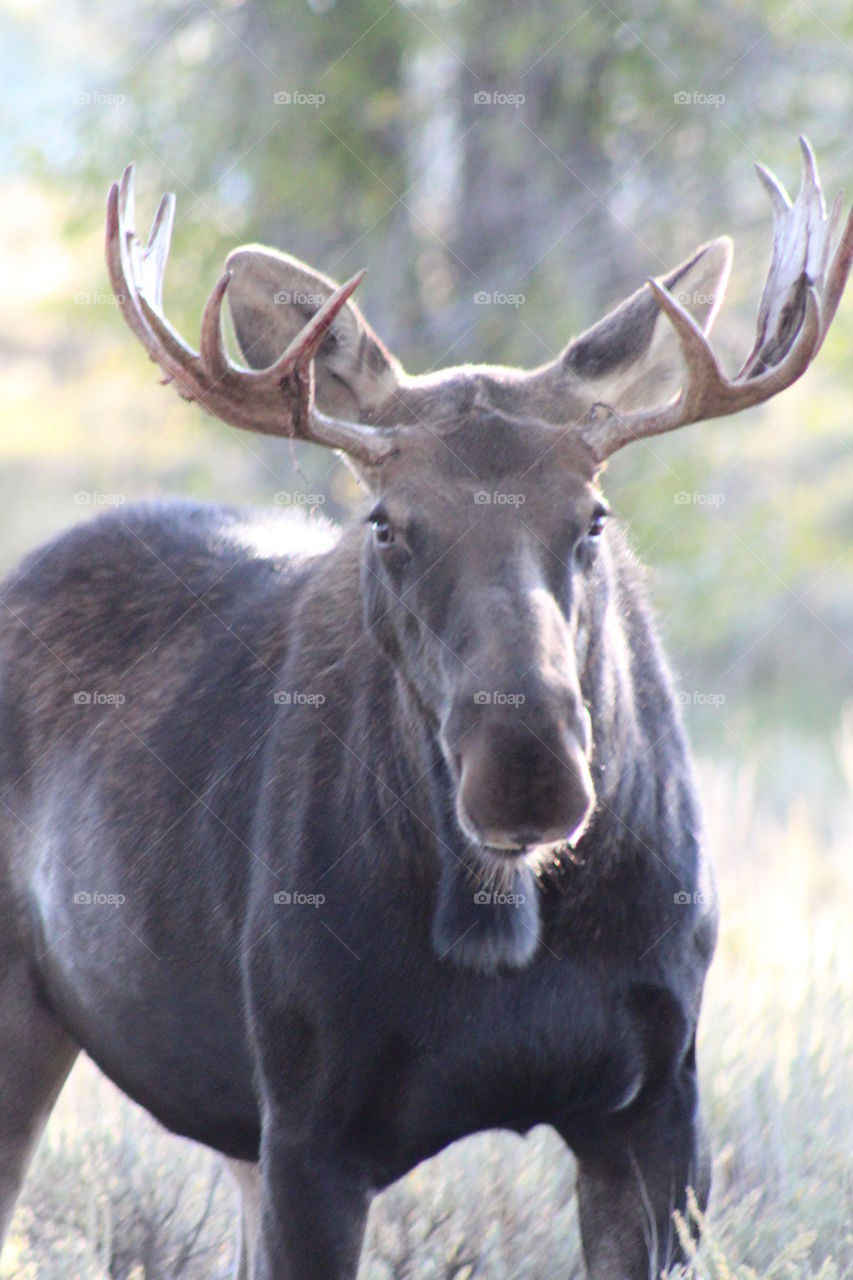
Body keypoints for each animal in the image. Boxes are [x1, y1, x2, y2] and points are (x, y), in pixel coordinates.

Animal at [0, 139, 849, 1280]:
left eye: (593, 516)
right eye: (388, 523)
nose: (527, 767)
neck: (503, 928)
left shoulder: (663, 1105)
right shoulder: (308, 1119)